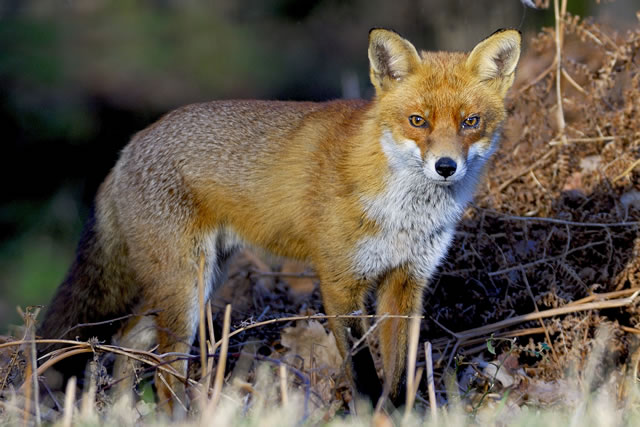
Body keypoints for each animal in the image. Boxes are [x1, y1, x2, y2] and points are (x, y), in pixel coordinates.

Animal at [37, 26, 520, 412]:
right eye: (417, 121)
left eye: (471, 122)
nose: (445, 167)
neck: (405, 215)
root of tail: (130, 146)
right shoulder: (340, 282)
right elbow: (362, 368)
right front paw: (370, 414)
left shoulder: (406, 284)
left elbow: (399, 372)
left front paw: (402, 415)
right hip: (186, 292)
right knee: (161, 372)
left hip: (195, 282)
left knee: (126, 346)